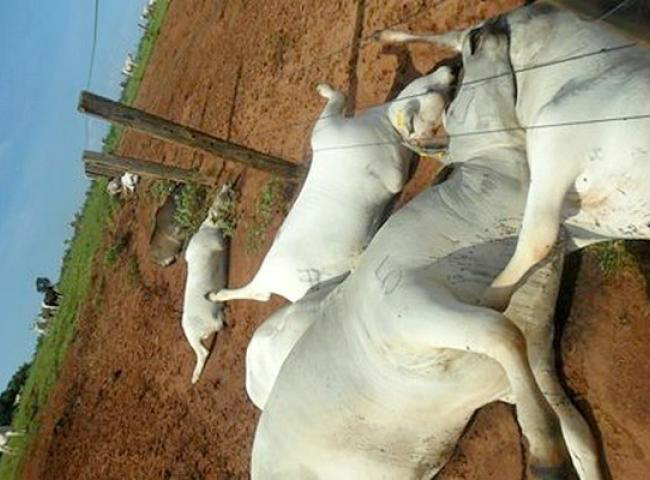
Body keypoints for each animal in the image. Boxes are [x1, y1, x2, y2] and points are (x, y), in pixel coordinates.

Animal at [210, 79, 448, 304]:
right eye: (426, 92)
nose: (452, 71)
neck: (381, 123)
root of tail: (264, 278)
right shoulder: (387, 170)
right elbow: (397, 176)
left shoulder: (324, 134)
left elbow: (338, 99)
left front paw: (322, 89)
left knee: (260, 295)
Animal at [251, 27, 600, 480]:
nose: (483, 31)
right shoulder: (406, 307)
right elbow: (501, 332)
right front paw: (543, 450)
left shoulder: (538, 358)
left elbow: (582, 439)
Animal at [374, 1, 648, 310]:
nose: (487, 34)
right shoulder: (554, 131)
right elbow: (538, 241)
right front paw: (491, 302)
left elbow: (547, 245)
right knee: (455, 36)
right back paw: (386, 36)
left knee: (458, 41)